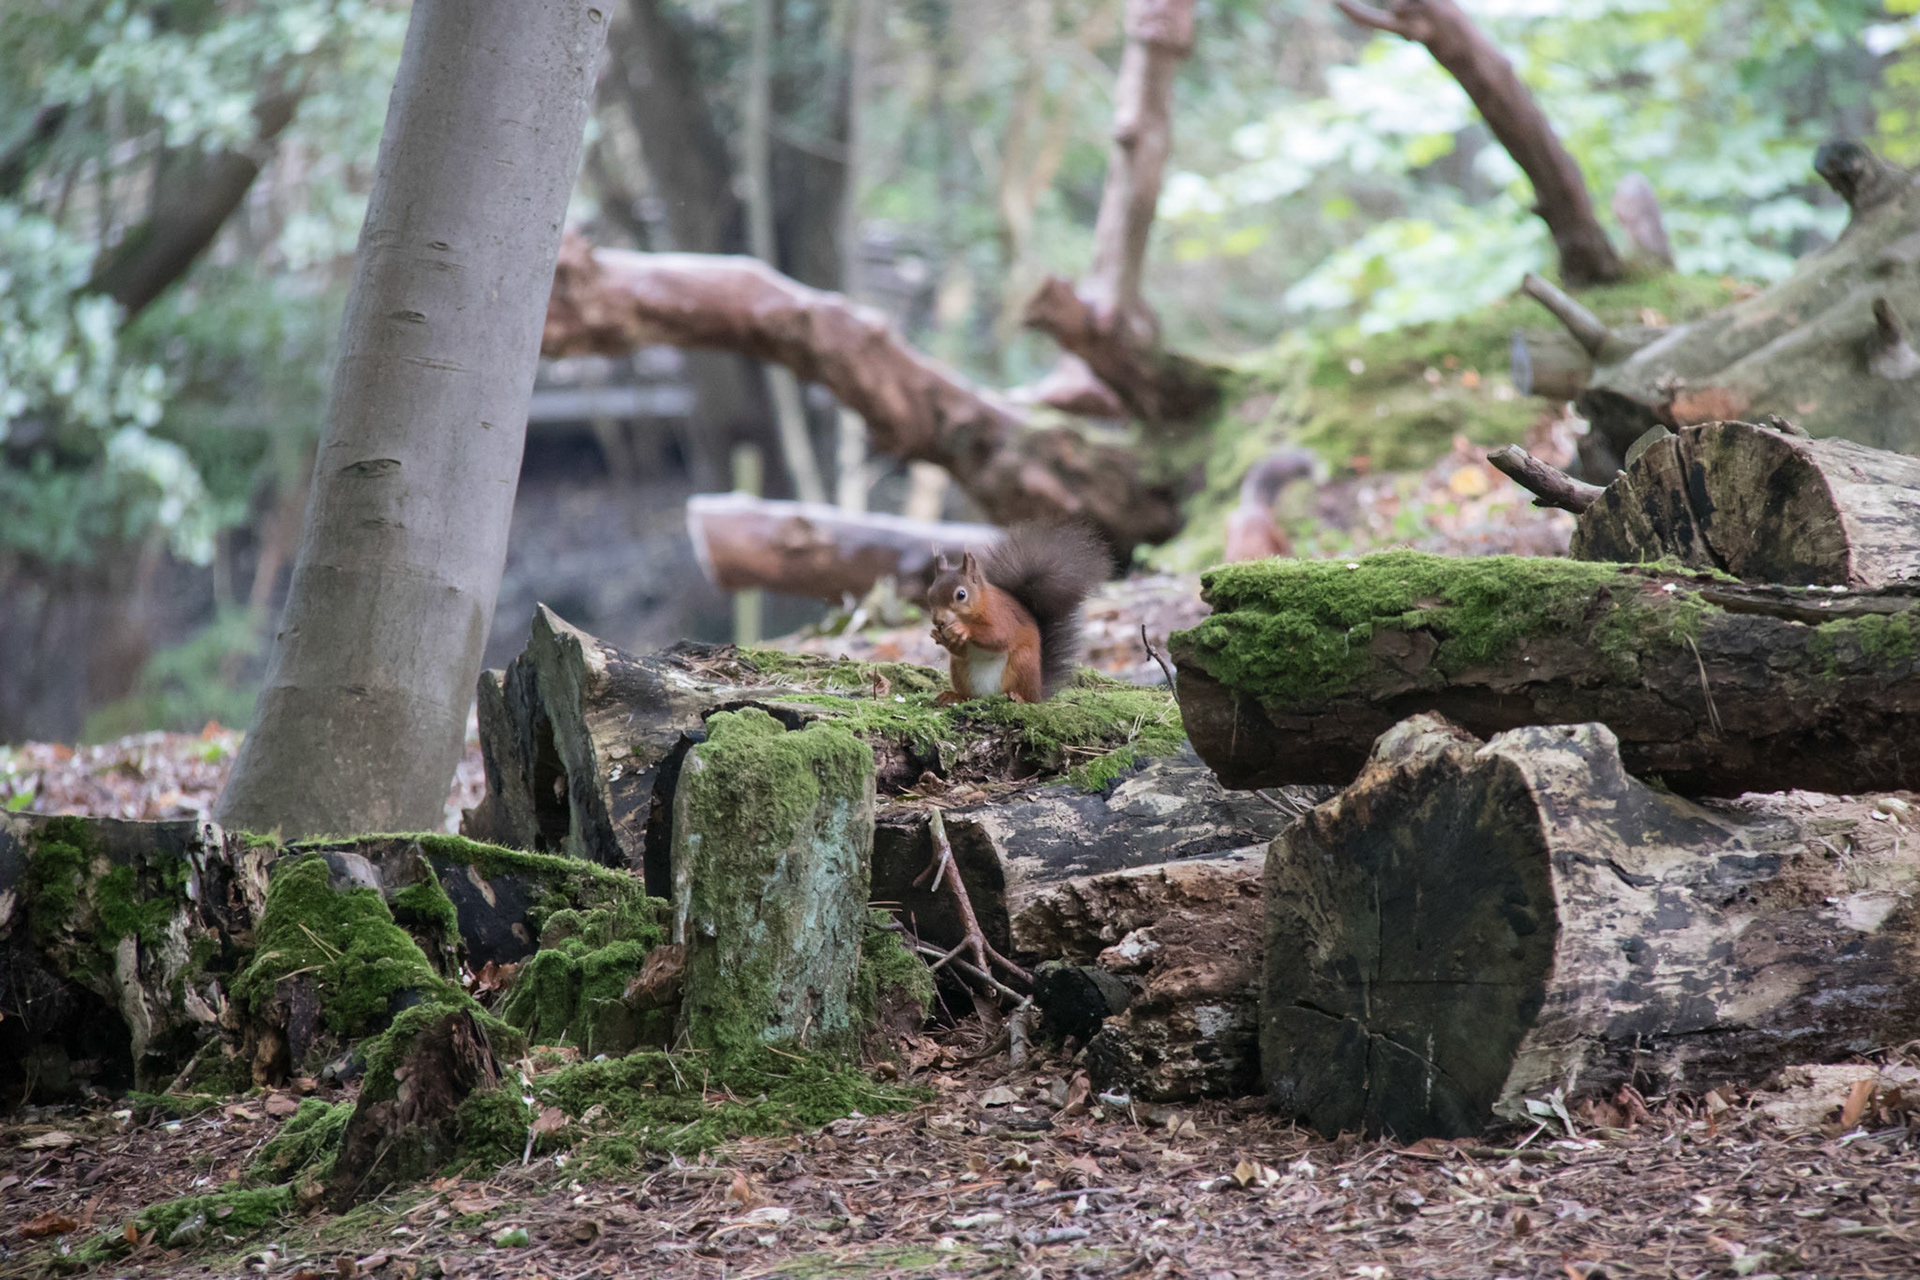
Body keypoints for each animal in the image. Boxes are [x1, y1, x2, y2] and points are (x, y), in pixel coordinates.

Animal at [925, 520, 1109, 705]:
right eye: (929, 594)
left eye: (961, 595)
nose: (938, 621)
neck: (980, 604)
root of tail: (1039, 691)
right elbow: (961, 651)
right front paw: (937, 635)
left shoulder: (1000, 615)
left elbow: (998, 636)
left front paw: (962, 629)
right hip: (960, 668)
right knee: (968, 695)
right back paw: (953, 696)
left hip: (1022, 663)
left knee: (1027, 696)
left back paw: (1018, 697)